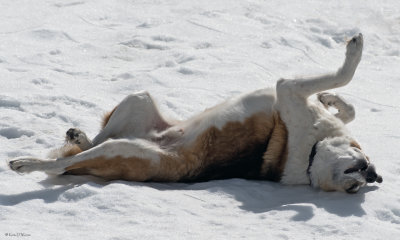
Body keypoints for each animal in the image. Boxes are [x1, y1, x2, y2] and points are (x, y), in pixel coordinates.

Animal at [8, 33, 382, 193]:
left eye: (352, 190)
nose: (372, 175)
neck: (310, 156)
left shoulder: (288, 89)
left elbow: (344, 75)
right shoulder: (293, 95)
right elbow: (346, 102)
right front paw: (333, 97)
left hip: (124, 148)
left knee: (64, 164)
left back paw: (25, 164)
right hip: (139, 100)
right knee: (90, 142)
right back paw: (78, 135)